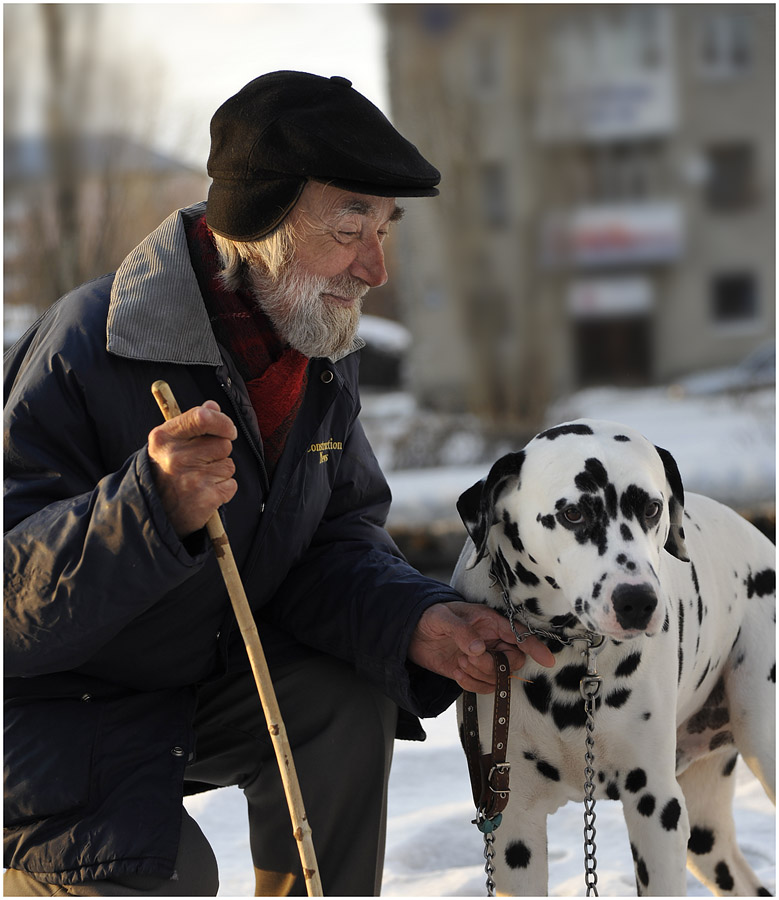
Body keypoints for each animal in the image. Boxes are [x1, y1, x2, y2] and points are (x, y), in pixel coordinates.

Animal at [454, 420, 776, 892]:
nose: (637, 601)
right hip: (706, 835)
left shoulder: (656, 806)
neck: (570, 657)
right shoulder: (512, 822)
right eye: (572, 514)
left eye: (653, 509)